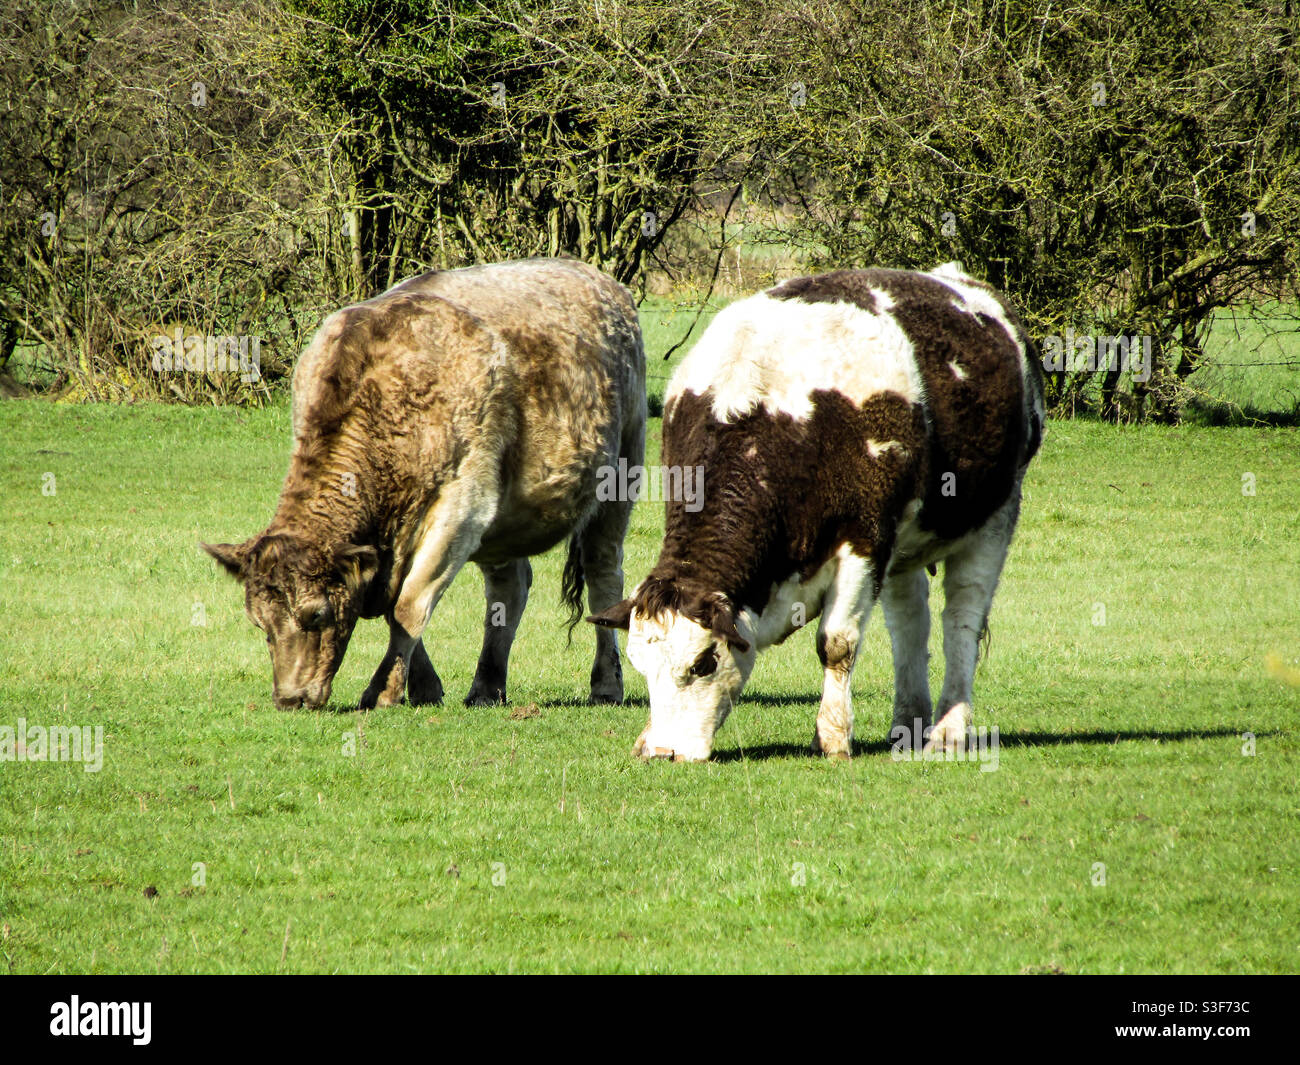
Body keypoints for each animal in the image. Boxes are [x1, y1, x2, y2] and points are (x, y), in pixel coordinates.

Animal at [202, 254, 644, 712]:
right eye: (260, 623)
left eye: (316, 614)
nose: (290, 699)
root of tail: (596, 278)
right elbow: (395, 607)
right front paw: (423, 685)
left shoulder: (461, 509)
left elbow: (408, 604)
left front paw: (384, 690)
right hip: (505, 515)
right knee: (509, 589)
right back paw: (487, 686)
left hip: (621, 473)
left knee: (603, 577)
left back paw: (606, 684)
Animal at [590, 262, 1045, 764]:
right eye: (639, 664)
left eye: (704, 662)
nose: (663, 752)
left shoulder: (864, 539)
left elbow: (837, 643)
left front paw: (831, 737)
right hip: (905, 540)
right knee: (910, 623)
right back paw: (908, 723)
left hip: (995, 517)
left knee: (961, 619)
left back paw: (947, 732)